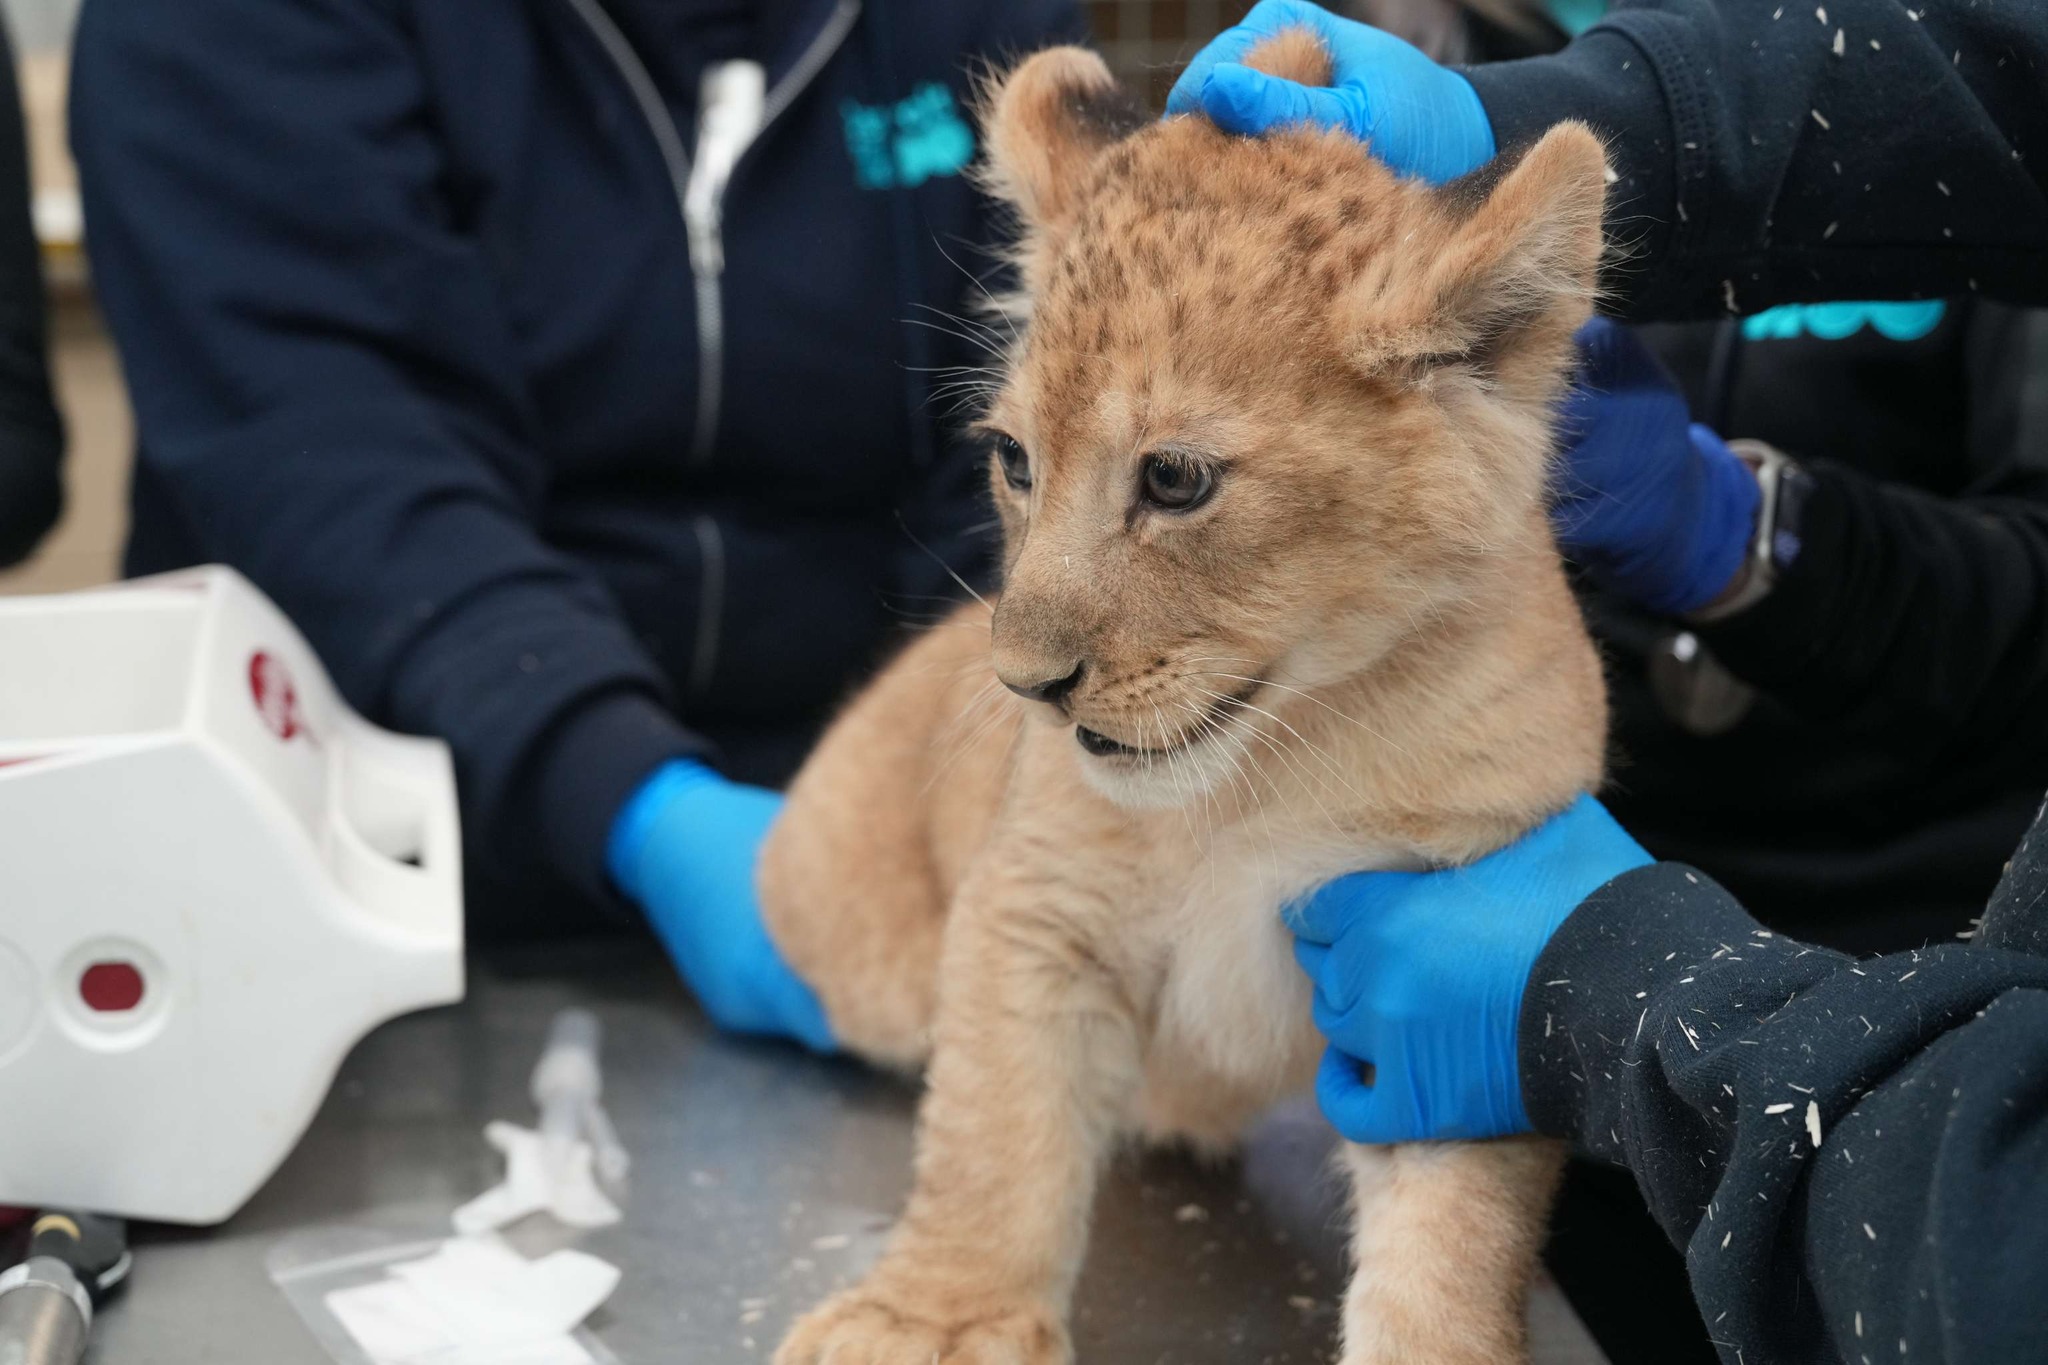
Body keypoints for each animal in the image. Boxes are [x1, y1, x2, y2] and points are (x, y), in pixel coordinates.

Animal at [759, 28, 1610, 1365]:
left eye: (1172, 481)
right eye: (1013, 461)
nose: (1025, 686)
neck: (1276, 757)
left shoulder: (1437, 981)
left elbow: (1452, 1242)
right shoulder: (1034, 903)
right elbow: (991, 1133)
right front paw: (933, 1320)